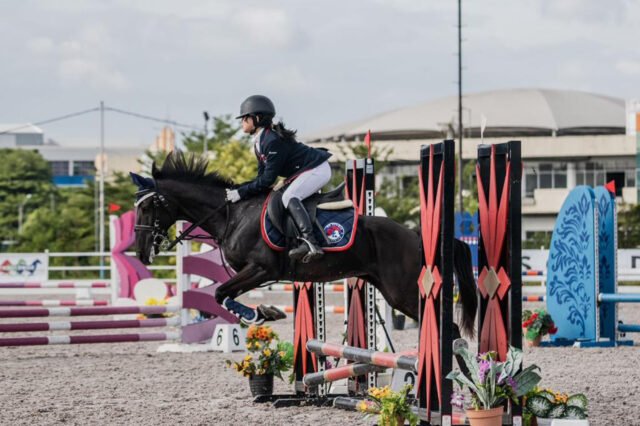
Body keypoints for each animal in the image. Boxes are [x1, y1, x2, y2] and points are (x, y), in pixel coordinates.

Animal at [132, 151, 478, 334]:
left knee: (449, 329)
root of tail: (415, 234)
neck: (231, 214)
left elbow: (220, 294)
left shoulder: (262, 269)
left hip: (402, 292)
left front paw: (260, 315)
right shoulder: (253, 273)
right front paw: (266, 312)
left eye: (148, 208)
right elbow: (222, 295)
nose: (143, 252)